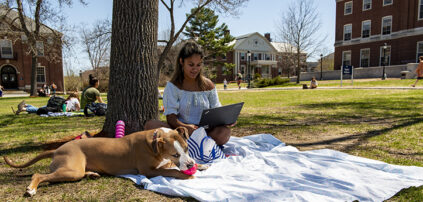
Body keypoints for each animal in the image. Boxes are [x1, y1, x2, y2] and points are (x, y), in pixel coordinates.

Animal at [3, 127, 201, 196]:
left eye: (186, 149)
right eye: (175, 154)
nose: (190, 165)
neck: (154, 141)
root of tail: (58, 149)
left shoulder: (161, 163)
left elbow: (170, 166)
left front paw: (202, 165)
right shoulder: (149, 171)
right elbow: (172, 170)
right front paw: (187, 175)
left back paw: (92, 173)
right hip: (72, 170)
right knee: (39, 174)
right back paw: (31, 189)